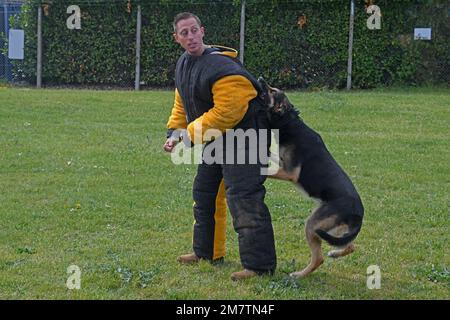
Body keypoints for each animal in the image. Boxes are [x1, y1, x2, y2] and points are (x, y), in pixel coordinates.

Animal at [258, 78, 364, 278]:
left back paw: (299, 274)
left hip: (313, 225)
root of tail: (359, 212)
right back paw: (335, 253)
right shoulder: (281, 162)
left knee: (319, 258)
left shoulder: (290, 172)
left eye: (272, 91)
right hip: (332, 228)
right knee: (351, 245)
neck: (289, 122)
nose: (260, 78)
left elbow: (267, 170)